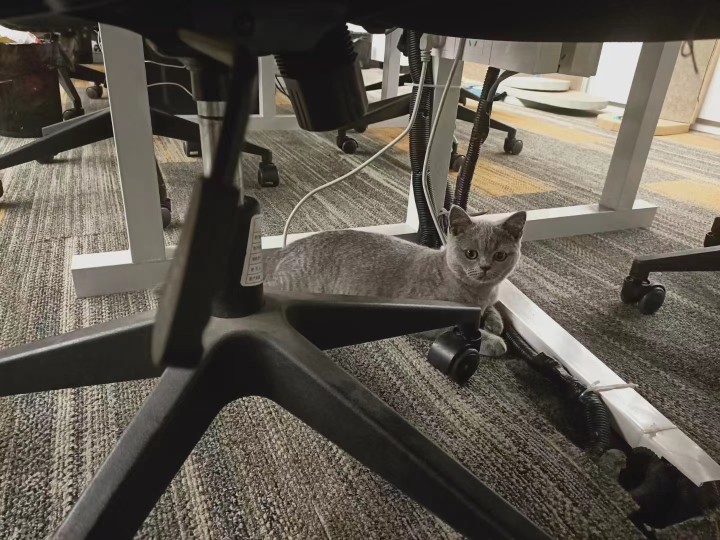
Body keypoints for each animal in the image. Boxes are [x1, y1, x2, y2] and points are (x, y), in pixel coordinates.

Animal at [264, 205, 526, 356]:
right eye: (471, 253)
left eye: (500, 256)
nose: (485, 267)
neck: (481, 292)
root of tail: (284, 249)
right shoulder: (433, 316)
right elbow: (462, 330)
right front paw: (495, 341)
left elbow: (493, 308)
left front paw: (495, 322)